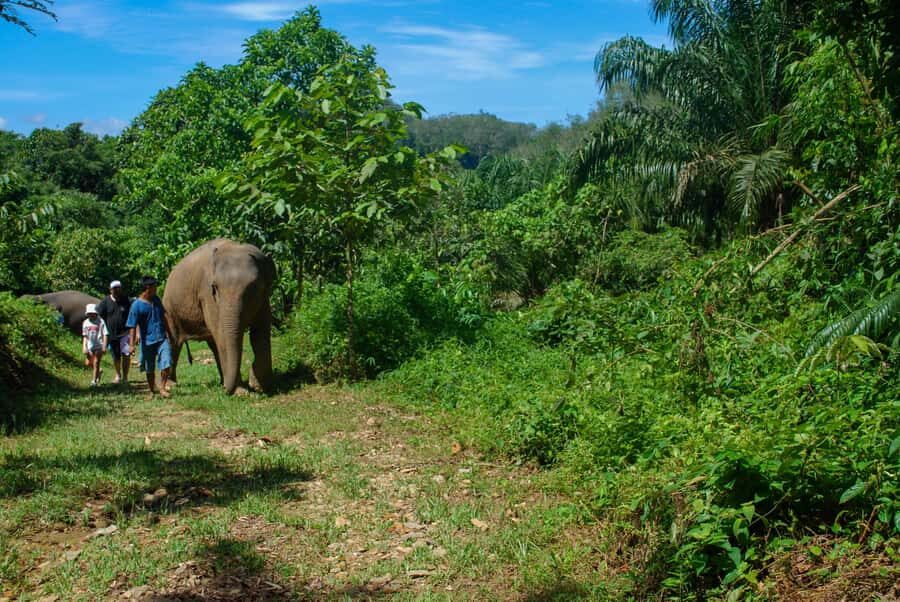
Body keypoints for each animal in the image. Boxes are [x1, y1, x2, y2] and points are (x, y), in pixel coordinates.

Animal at [163, 239, 276, 394]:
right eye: (215, 287)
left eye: (253, 287)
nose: (226, 390)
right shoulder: (207, 295)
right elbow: (221, 334)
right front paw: (241, 392)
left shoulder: (264, 298)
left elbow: (261, 332)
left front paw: (257, 385)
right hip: (169, 309)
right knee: (173, 342)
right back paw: (171, 385)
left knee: (214, 344)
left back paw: (223, 381)